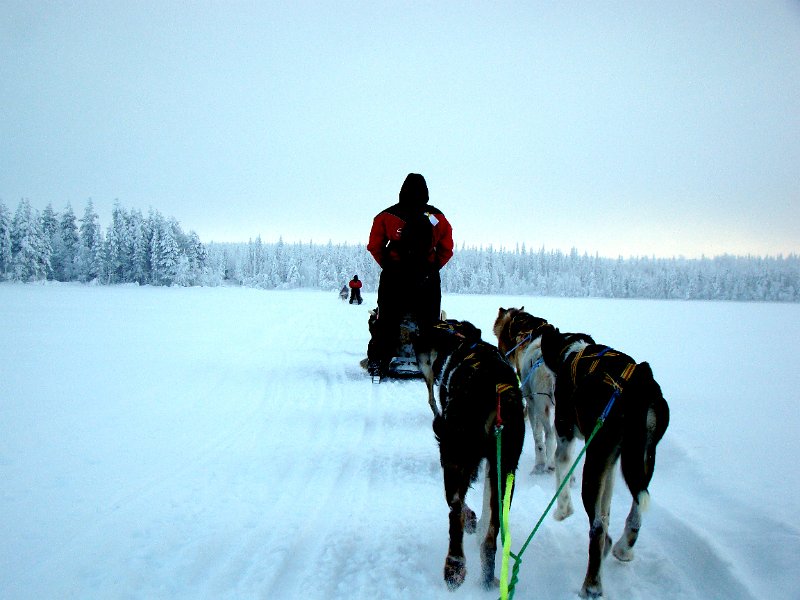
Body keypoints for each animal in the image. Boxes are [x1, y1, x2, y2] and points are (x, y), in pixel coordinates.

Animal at [418, 322, 524, 588]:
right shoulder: (494, 467)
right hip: (505, 470)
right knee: (491, 537)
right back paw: (487, 577)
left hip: (455, 455)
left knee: (455, 510)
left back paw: (454, 565)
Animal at [536, 326, 668, 596]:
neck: (572, 352)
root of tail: (637, 388)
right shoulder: (611, 460)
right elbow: (606, 505)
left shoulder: (566, 438)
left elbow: (563, 477)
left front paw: (562, 511)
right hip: (643, 457)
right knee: (633, 513)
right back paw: (623, 548)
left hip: (594, 460)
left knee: (597, 529)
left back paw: (592, 585)